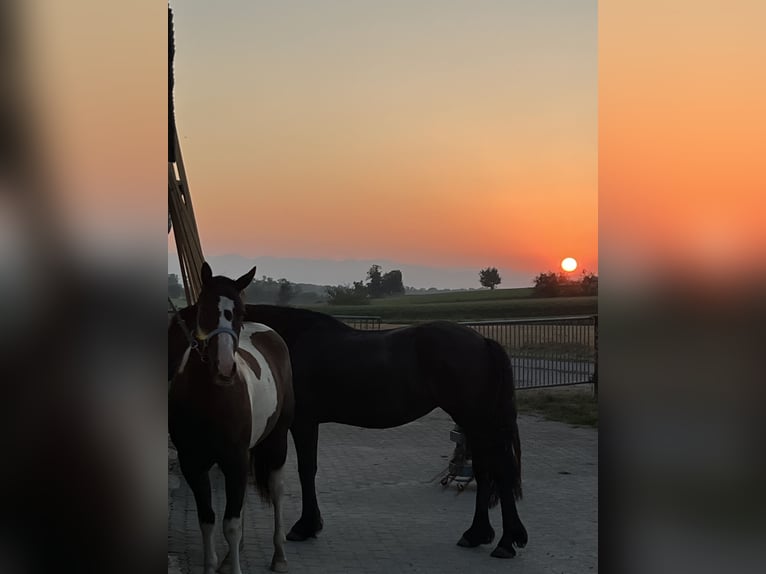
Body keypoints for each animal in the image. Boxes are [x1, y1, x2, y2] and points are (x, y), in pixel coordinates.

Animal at [168, 263, 295, 573]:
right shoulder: (193, 464)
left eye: (240, 310)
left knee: (277, 491)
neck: (210, 400)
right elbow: (208, 520)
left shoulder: (234, 460)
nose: (225, 367)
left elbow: (231, 525)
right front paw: (213, 564)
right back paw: (229, 556)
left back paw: (279, 556)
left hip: (277, 441)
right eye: (203, 307)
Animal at [169, 301, 527, 559]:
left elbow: (306, 470)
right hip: (475, 423)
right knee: (486, 470)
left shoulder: (303, 423)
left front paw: (305, 526)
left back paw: (505, 542)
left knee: (500, 470)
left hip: (477, 420)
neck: (285, 342)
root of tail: (482, 341)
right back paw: (478, 534)